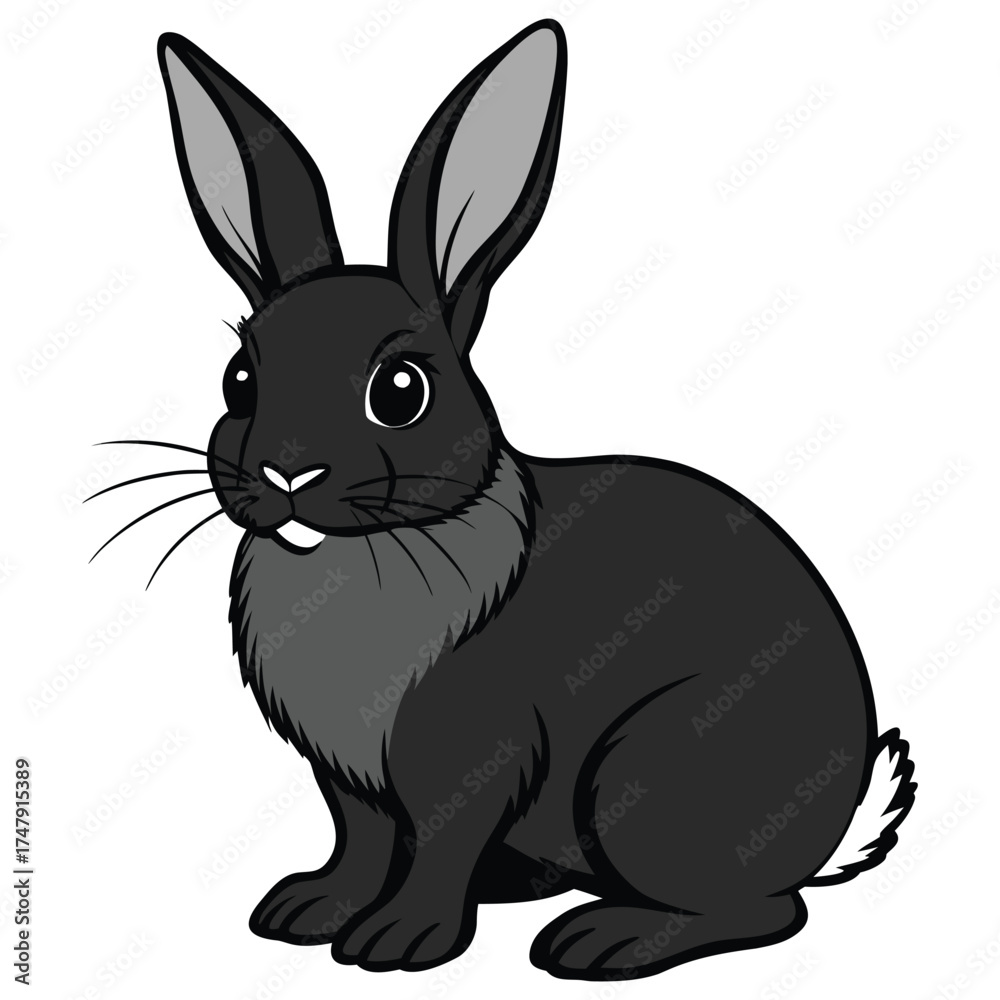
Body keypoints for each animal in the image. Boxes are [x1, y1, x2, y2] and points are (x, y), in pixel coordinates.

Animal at [155, 21, 916, 982]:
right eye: (240, 378)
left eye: (400, 390)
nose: (288, 475)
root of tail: (833, 828)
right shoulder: (348, 781)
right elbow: (358, 843)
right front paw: (308, 910)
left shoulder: (471, 754)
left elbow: (439, 848)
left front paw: (399, 943)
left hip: (648, 780)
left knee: (765, 909)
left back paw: (602, 940)